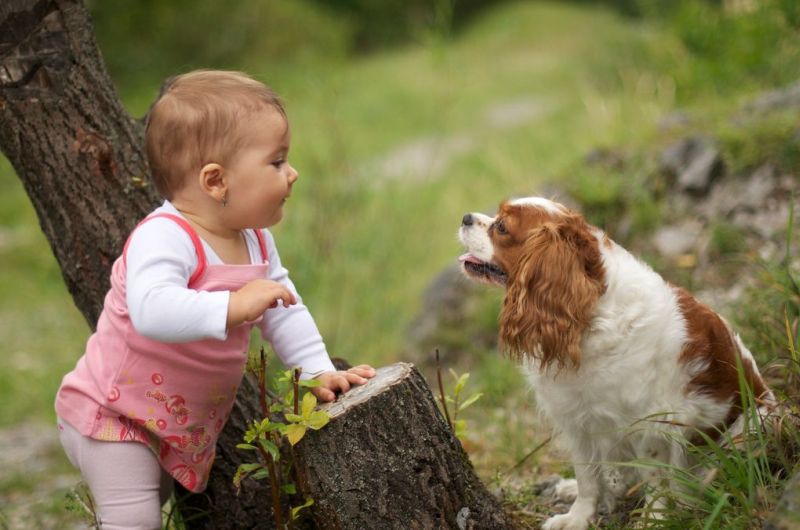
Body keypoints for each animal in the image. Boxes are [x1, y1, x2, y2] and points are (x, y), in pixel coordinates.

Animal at [460, 196, 772, 524]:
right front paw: (578, 518)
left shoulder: (651, 426)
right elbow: (587, 478)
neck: (588, 317)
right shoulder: (577, 420)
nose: (465, 217)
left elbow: (656, 479)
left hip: (751, 428)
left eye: (502, 227)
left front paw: (654, 519)